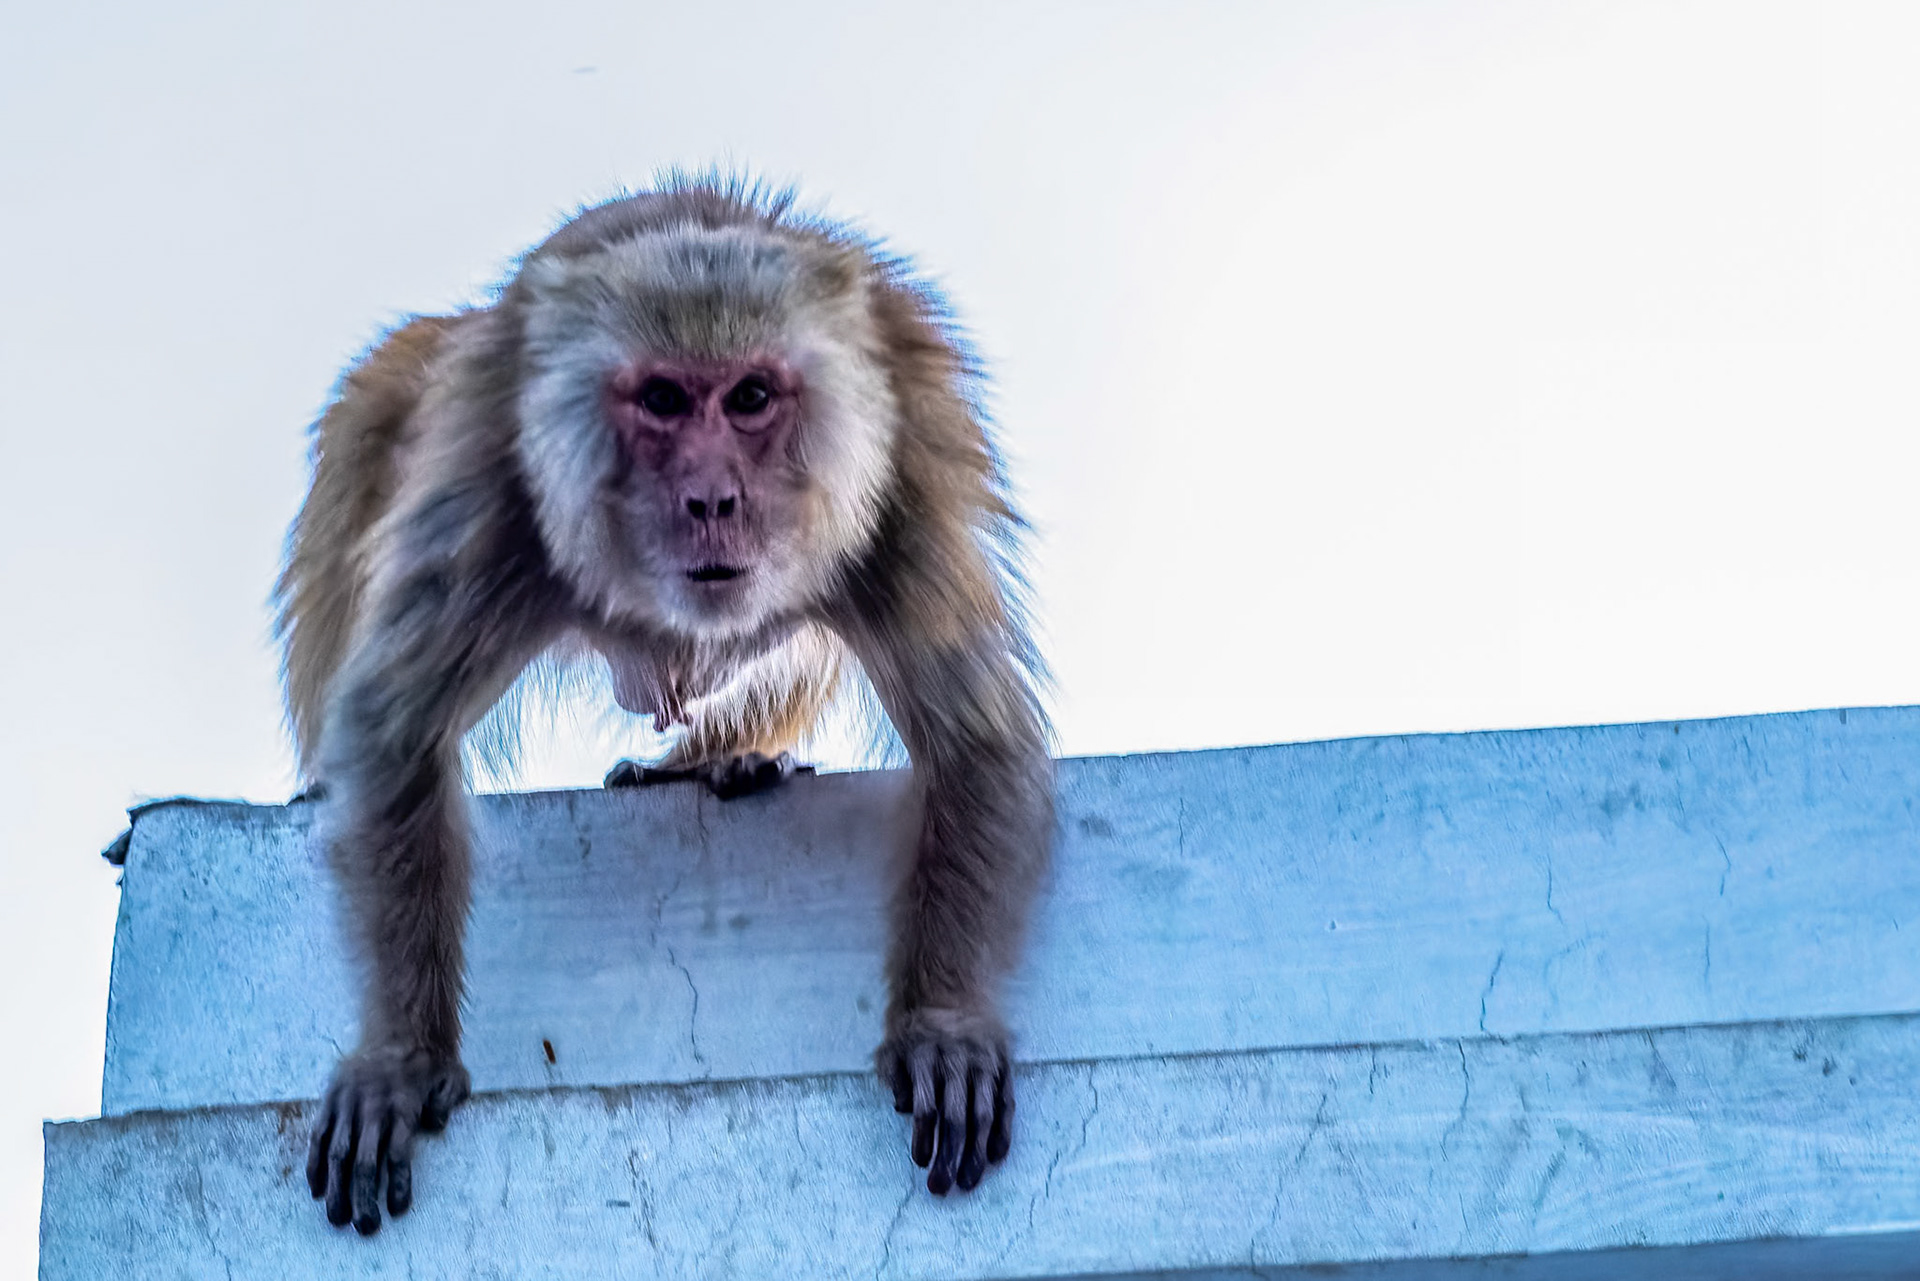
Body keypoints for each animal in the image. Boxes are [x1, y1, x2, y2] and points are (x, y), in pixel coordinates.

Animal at [275, 178, 1053, 1234]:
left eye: (751, 397)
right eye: (664, 400)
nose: (712, 499)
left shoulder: (893, 490)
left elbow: (975, 741)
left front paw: (943, 1023)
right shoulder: (501, 491)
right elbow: (394, 733)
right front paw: (401, 1055)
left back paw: (728, 756)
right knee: (373, 405)